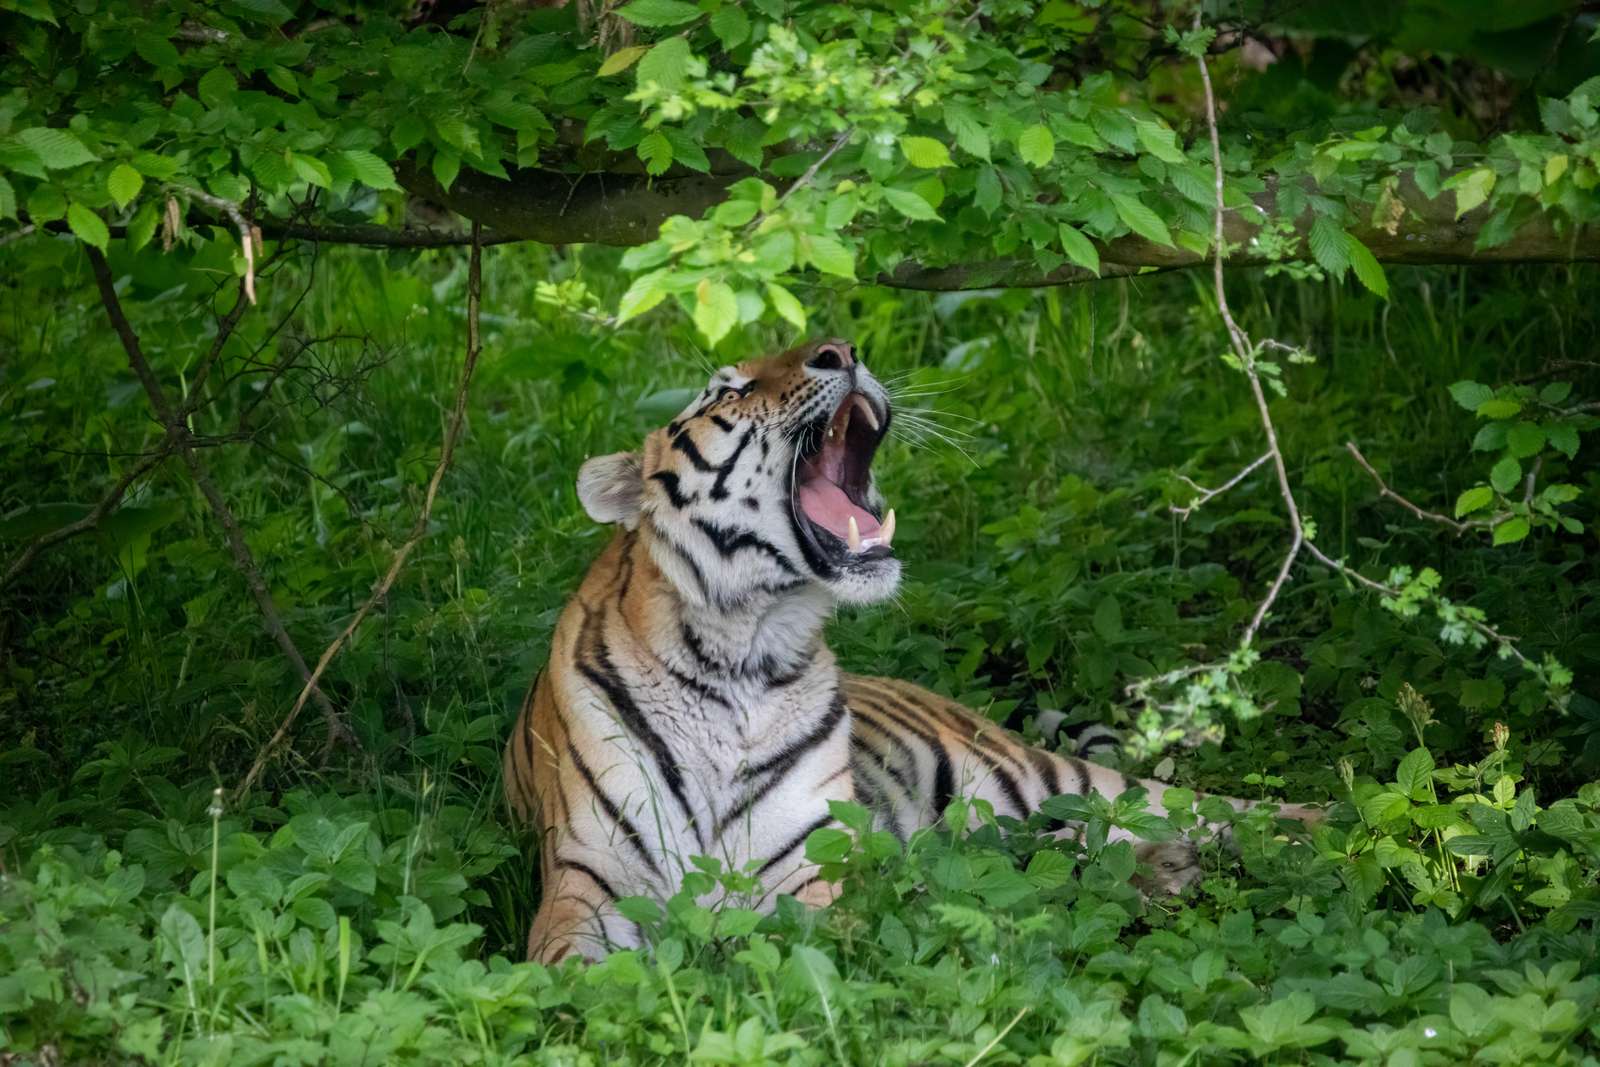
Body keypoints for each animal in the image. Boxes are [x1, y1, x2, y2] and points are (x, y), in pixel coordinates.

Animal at [502, 337, 1324, 966]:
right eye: (726, 390)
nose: (842, 349)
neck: (744, 651)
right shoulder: (584, 887)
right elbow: (572, 974)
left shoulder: (817, 872)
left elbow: (811, 939)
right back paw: (1160, 874)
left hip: (1056, 779)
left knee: (1233, 809)